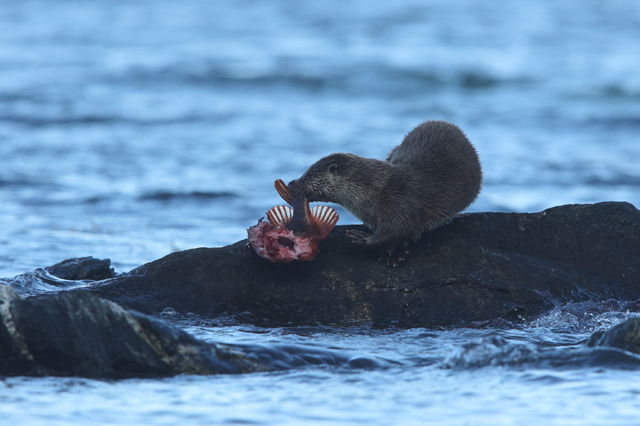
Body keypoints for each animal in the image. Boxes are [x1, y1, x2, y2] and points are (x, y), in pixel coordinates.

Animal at [285, 120, 482, 266]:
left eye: (308, 175)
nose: (291, 183)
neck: (375, 192)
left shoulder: (401, 204)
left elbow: (399, 230)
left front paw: (364, 239)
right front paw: (394, 252)